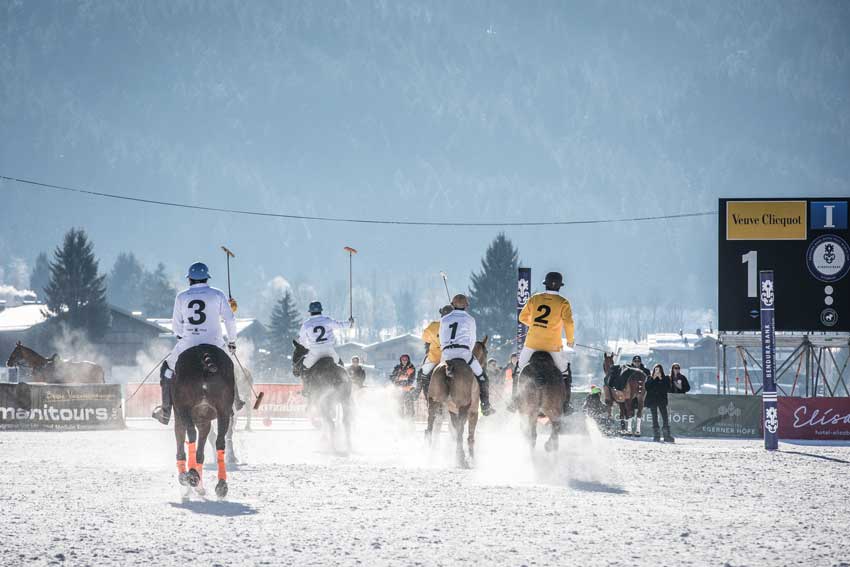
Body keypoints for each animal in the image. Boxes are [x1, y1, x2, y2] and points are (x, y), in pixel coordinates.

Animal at [171, 344, 235, 500]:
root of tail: (205, 354)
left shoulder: (181, 414)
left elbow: (182, 444)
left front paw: (185, 480)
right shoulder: (204, 421)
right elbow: (200, 453)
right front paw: (198, 488)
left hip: (184, 409)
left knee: (191, 434)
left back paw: (191, 475)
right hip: (224, 411)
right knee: (220, 441)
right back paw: (221, 486)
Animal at [422, 338, 484, 470]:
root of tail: (448, 366)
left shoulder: (452, 411)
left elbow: (453, 429)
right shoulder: (473, 411)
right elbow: (469, 434)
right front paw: (472, 458)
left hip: (434, 401)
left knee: (431, 425)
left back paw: (430, 453)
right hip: (463, 406)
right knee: (460, 431)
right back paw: (460, 458)